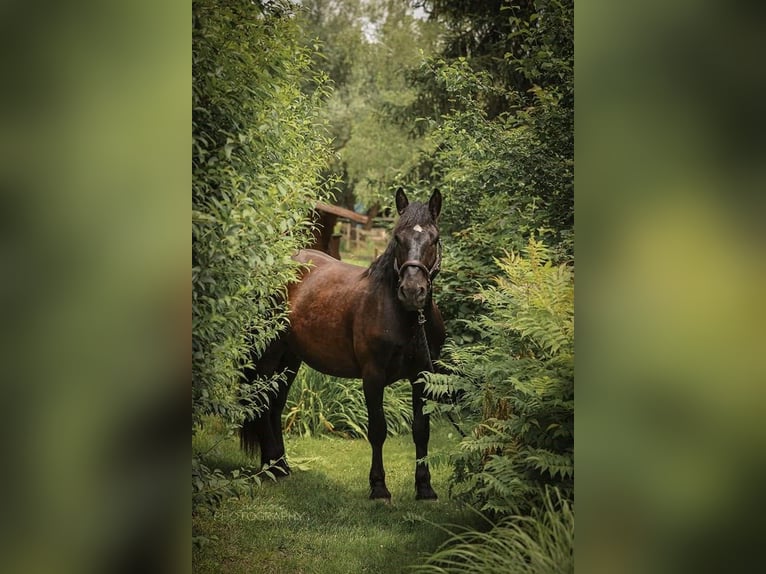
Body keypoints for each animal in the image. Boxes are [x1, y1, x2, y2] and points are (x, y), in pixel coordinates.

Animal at [240, 188, 444, 500]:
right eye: (398, 237)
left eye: (434, 239)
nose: (412, 292)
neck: (406, 319)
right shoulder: (372, 377)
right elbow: (377, 430)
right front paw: (379, 487)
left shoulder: (422, 377)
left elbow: (422, 430)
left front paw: (425, 488)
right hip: (267, 355)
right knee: (261, 403)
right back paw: (270, 470)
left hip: (290, 359)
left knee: (275, 405)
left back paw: (279, 466)